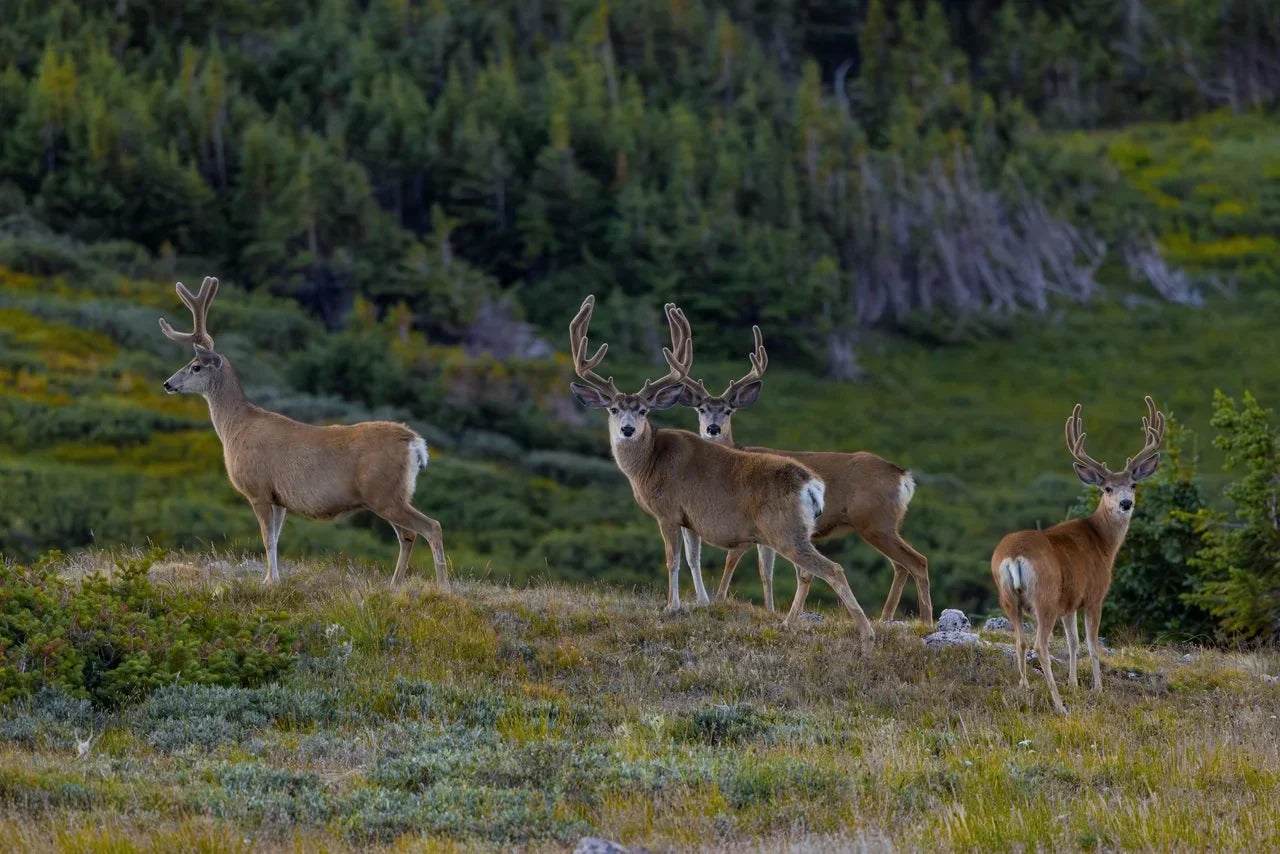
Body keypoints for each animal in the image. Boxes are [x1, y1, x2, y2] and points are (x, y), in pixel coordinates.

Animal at [158, 276, 449, 588]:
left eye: (195, 367)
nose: (167, 384)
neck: (234, 427)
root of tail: (414, 443)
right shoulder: (279, 498)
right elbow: (275, 538)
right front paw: (274, 579)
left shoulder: (258, 489)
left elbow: (267, 539)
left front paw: (268, 581)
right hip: (392, 494)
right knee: (408, 534)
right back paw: (394, 586)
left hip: (384, 492)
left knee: (431, 527)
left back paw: (443, 587)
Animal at [567, 295, 876, 649]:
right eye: (613, 409)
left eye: (643, 410)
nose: (628, 430)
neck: (649, 463)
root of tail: (811, 484)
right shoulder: (690, 517)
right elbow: (693, 557)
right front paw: (701, 602)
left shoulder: (667, 511)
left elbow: (672, 559)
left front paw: (671, 607)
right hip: (793, 530)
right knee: (810, 571)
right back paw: (789, 624)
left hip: (783, 528)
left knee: (830, 569)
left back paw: (866, 633)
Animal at [675, 325, 932, 625]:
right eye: (701, 409)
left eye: (728, 410)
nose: (713, 429)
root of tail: (902, 475)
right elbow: (766, 570)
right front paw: (771, 610)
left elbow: (733, 560)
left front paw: (719, 601)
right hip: (884, 524)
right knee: (901, 566)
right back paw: (886, 618)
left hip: (875, 521)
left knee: (917, 562)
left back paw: (925, 621)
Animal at [991, 396, 1165, 714]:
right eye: (1107, 487)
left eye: (1133, 484)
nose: (1125, 503)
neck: (1102, 542)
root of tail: (1014, 556)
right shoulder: (1094, 595)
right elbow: (1092, 644)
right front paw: (1097, 687)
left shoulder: (1070, 602)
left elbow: (1073, 642)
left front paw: (1073, 683)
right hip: (1044, 598)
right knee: (1040, 645)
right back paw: (1059, 705)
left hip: (1008, 598)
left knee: (1020, 642)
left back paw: (1024, 687)